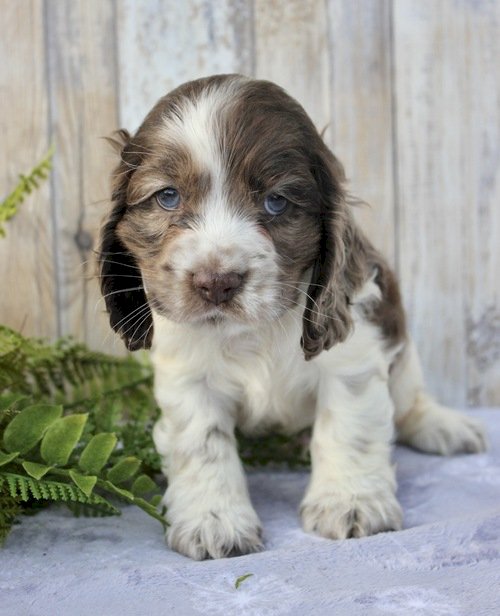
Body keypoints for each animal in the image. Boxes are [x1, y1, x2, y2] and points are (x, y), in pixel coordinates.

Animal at [96, 74, 484, 560]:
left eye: (276, 202)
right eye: (168, 197)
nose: (216, 281)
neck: (254, 331)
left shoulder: (352, 358)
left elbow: (348, 428)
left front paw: (352, 502)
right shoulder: (187, 377)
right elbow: (202, 442)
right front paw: (214, 520)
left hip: (402, 349)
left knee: (410, 400)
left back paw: (443, 426)